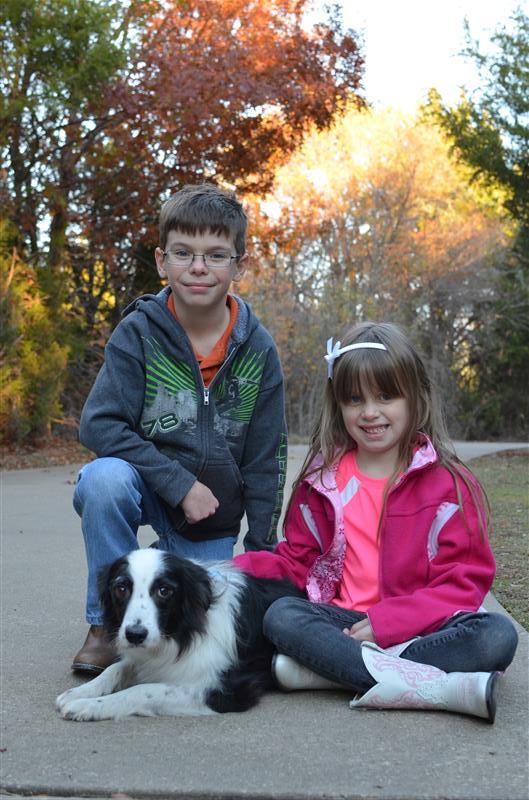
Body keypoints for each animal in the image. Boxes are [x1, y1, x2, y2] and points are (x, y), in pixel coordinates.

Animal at [56, 548, 303, 720]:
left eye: (164, 591)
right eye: (121, 588)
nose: (135, 635)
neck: (182, 631)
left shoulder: (225, 689)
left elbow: (143, 690)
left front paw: (89, 705)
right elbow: (116, 668)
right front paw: (80, 692)